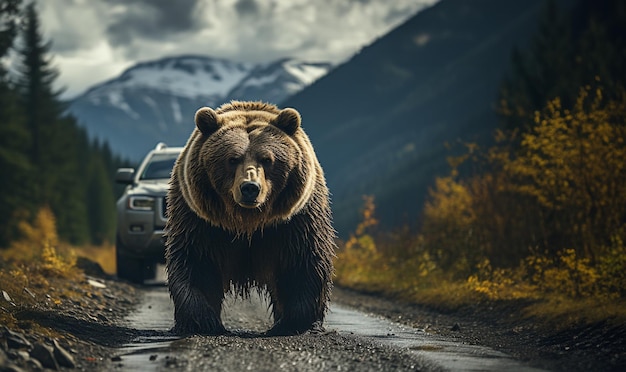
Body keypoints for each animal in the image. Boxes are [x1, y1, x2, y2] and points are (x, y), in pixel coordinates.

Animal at [163, 100, 334, 336]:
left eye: (267, 159)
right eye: (232, 159)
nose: (250, 188)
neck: (247, 222)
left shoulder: (294, 221)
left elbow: (302, 262)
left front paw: (293, 323)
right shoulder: (202, 222)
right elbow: (197, 262)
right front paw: (203, 321)